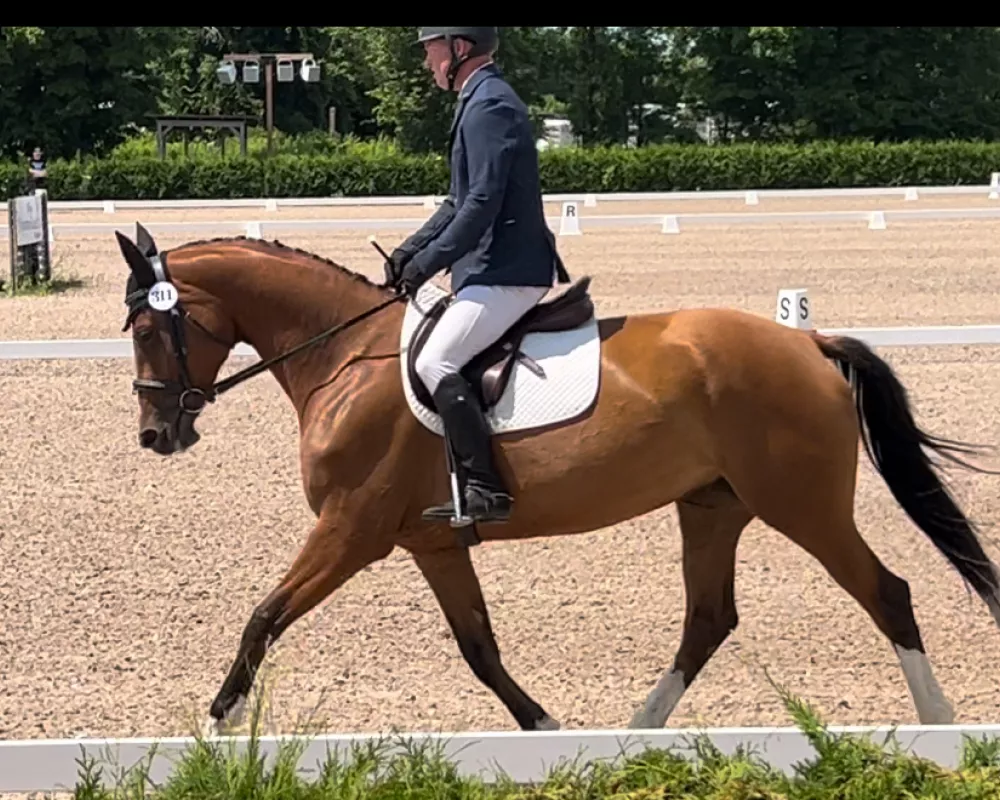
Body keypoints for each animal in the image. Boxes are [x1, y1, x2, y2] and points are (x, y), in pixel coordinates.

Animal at [113, 222, 1000, 736]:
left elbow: (266, 613)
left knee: (887, 594)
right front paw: (543, 732)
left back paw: (939, 732)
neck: (344, 357)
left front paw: (223, 720)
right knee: (709, 618)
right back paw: (635, 735)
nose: (157, 435)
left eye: (151, 325)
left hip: (802, 505)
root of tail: (808, 342)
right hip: (712, 506)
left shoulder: (351, 530)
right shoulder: (430, 543)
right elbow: (479, 647)